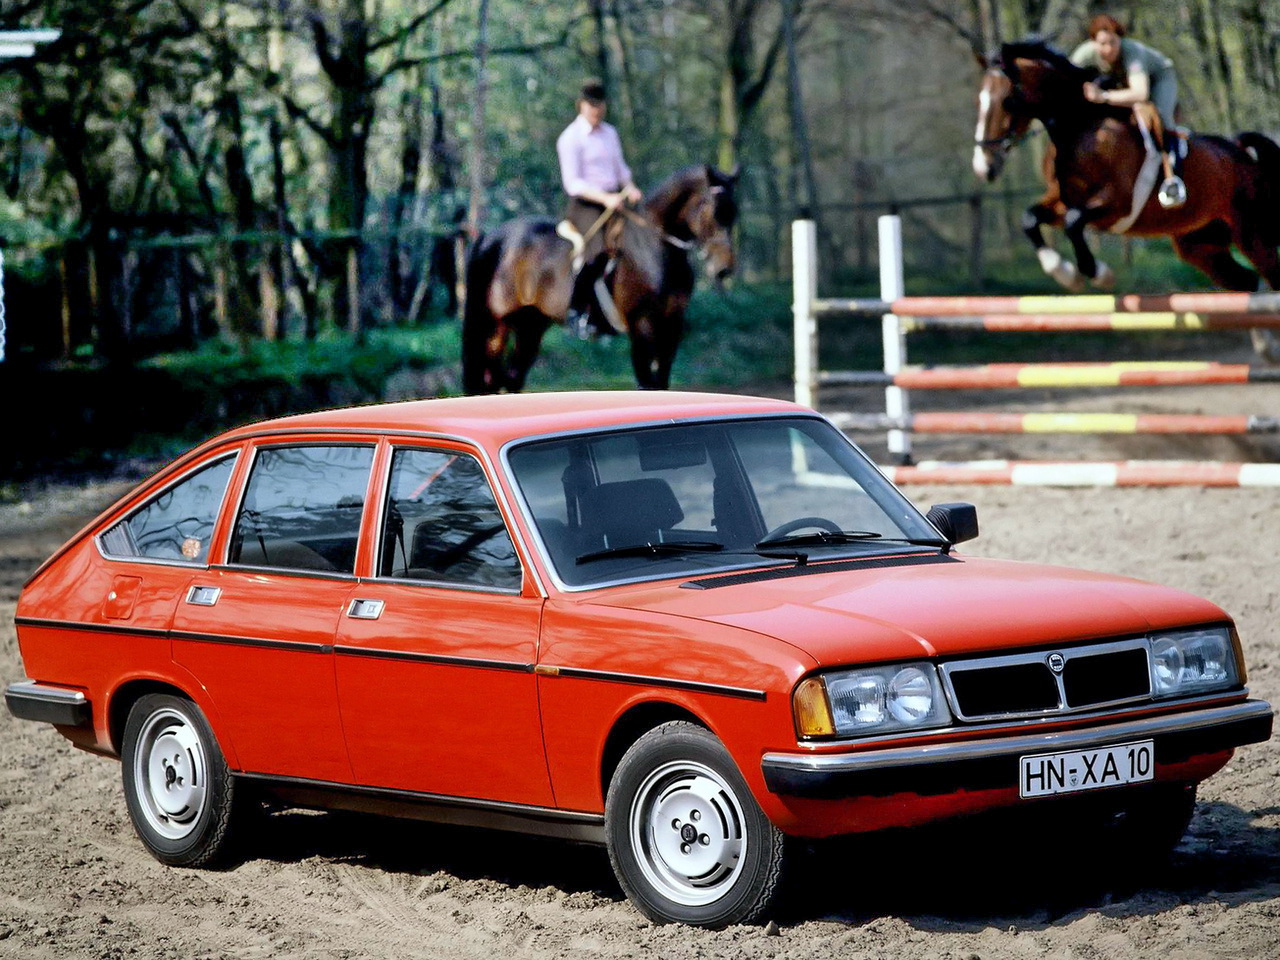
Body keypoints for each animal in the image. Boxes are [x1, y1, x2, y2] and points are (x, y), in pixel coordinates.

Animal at [460, 165, 742, 394]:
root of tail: (493, 235)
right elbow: (646, 383)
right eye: (714, 212)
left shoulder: (672, 325)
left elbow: (661, 382)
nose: (724, 269)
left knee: (511, 376)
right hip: (498, 322)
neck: (655, 251)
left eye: (734, 213)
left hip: (531, 324)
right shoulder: (641, 324)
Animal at [972, 39, 1280, 363]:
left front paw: (1100, 275)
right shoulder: (1061, 200)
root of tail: (1242, 153)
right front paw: (1065, 275)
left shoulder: (1116, 205)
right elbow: (1030, 218)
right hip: (1200, 245)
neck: (1079, 127)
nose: (983, 167)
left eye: (1007, 101)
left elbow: (1073, 223)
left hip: (1252, 235)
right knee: (1247, 282)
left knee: (1270, 278)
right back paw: (1267, 348)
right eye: (979, 102)